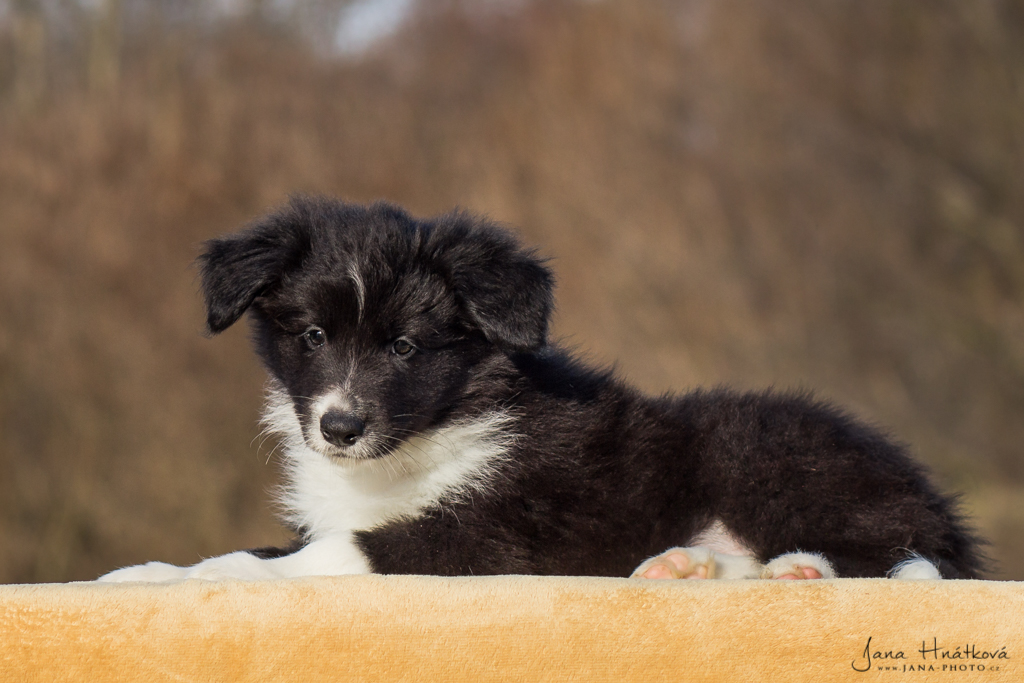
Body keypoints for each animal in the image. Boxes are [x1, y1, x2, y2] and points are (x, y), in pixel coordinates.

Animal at [101, 196, 983, 581]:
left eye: (406, 345)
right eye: (313, 336)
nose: (340, 426)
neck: (420, 441)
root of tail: (930, 495)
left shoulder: (496, 531)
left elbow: (334, 552)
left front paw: (186, 579)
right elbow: (272, 546)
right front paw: (146, 575)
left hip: (769, 453)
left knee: (896, 557)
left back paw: (795, 569)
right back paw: (680, 567)